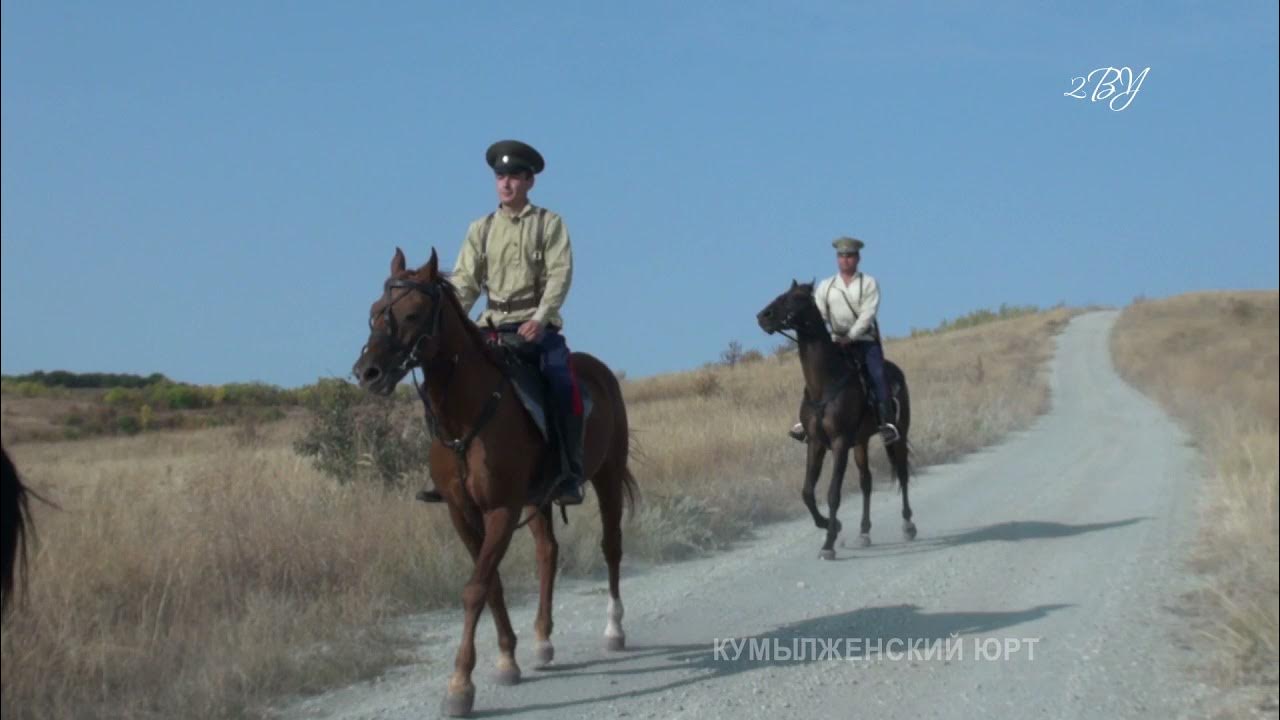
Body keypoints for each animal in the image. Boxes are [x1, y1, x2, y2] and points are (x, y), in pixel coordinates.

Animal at [350, 248, 634, 717]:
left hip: (607, 476)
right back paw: (543, 640)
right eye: (374, 312)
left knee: (611, 546)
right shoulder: (462, 512)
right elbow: (492, 583)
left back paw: (614, 630)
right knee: (547, 552)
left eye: (412, 314)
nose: (367, 373)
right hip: (538, 500)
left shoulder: (501, 509)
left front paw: (460, 686)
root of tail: (602, 373)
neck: (466, 416)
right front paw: (506, 659)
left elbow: (475, 588)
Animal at [752, 278, 916, 558]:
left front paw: (828, 543)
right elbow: (807, 492)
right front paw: (832, 524)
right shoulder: (816, 442)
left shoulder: (839, 443)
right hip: (861, 442)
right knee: (866, 481)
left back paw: (907, 525)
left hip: (899, 434)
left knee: (903, 473)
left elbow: (833, 493)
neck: (825, 383)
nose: (764, 316)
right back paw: (864, 532)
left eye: (797, 298)